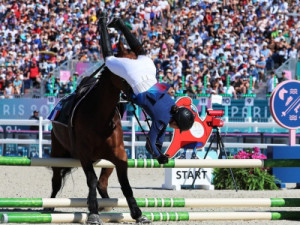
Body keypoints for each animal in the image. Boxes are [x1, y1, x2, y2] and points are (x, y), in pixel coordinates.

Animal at [48, 41, 149, 224]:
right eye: (124, 68)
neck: (100, 117)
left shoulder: (119, 155)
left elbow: (124, 183)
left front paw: (137, 213)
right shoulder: (84, 155)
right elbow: (92, 180)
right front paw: (93, 212)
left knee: (102, 182)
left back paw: (106, 205)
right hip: (57, 153)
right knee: (56, 181)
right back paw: (49, 205)